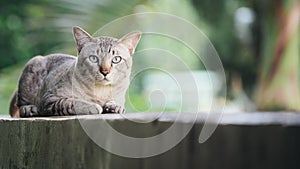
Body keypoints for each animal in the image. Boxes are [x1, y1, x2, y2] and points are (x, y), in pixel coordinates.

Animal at [8, 26, 141, 117]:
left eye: (116, 59)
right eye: (93, 58)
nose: (105, 71)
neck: (100, 92)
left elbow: (116, 103)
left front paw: (114, 107)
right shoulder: (50, 99)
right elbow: (70, 102)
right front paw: (92, 106)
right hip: (32, 66)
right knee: (21, 105)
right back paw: (29, 109)